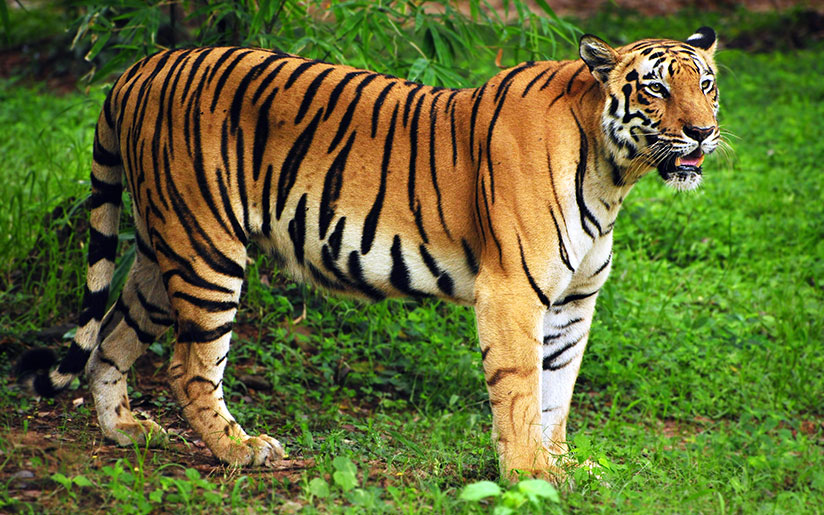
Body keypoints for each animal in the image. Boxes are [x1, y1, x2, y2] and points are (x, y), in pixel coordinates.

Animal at [16, 26, 716, 482]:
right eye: (655, 90)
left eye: (706, 85)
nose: (703, 131)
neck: (613, 173)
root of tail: (139, 68)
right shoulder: (514, 289)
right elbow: (521, 387)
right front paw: (529, 476)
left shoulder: (574, 299)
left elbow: (558, 388)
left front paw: (564, 465)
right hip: (207, 250)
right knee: (189, 367)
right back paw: (241, 451)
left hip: (162, 254)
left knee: (112, 337)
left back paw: (124, 430)